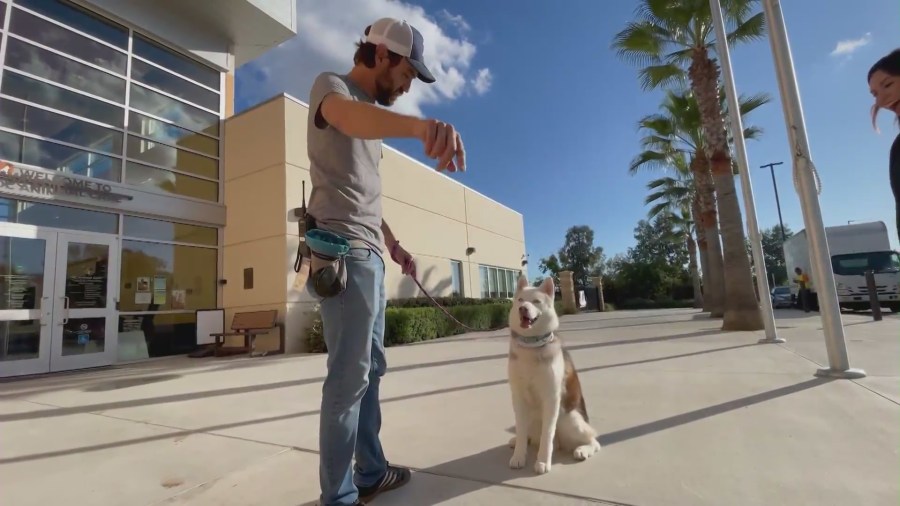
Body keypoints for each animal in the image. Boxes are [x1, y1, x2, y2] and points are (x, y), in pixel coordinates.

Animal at [506, 274, 596, 472]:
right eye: (520, 300)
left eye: (536, 301)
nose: (523, 308)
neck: (531, 346)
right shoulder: (517, 397)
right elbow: (521, 429)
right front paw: (518, 455)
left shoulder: (551, 398)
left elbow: (547, 435)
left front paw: (542, 461)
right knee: (528, 433)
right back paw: (518, 440)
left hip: (569, 419)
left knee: (594, 439)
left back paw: (583, 449)